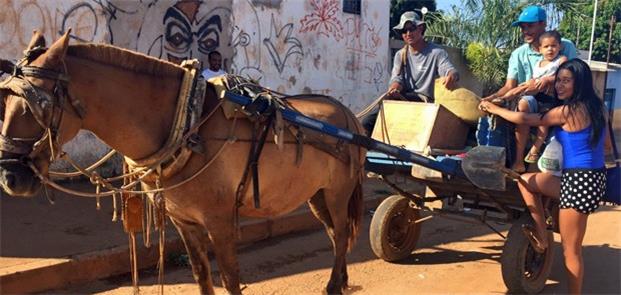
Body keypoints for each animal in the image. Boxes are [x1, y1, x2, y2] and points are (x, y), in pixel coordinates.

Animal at [0, 31, 366, 294]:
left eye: (36, 105)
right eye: (5, 99)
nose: (10, 177)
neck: (189, 126)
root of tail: (350, 116)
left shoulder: (220, 221)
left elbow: (230, 279)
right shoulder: (184, 222)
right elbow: (202, 276)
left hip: (338, 192)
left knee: (342, 231)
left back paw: (334, 285)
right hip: (316, 194)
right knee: (334, 233)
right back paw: (342, 279)